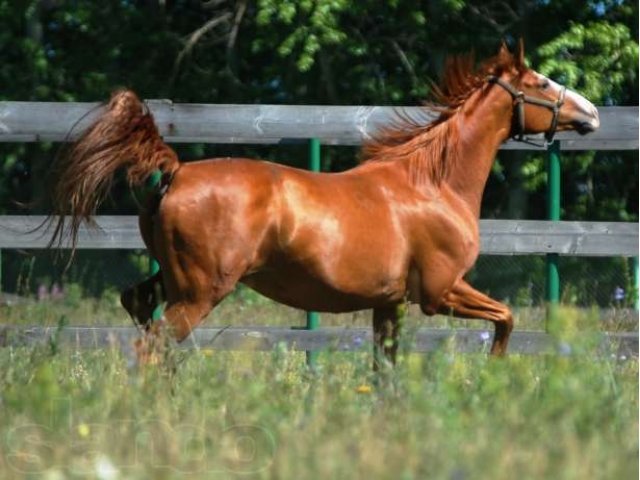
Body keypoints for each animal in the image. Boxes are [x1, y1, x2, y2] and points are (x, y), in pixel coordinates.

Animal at [47, 46, 596, 368]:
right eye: (541, 83)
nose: (590, 113)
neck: (432, 185)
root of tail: (176, 171)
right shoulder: (440, 291)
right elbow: (506, 319)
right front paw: (493, 375)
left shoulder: (389, 303)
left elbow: (385, 369)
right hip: (202, 291)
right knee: (153, 342)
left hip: (175, 278)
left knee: (137, 308)